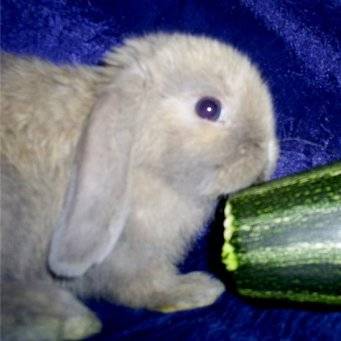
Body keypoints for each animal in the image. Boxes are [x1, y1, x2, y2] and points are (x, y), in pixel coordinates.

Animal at [1, 31, 278, 338]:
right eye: (209, 108)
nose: (268, 152)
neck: (143, 161)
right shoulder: (129, 259)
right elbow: (146, 288)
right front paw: (197, 289)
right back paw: (71, 320)